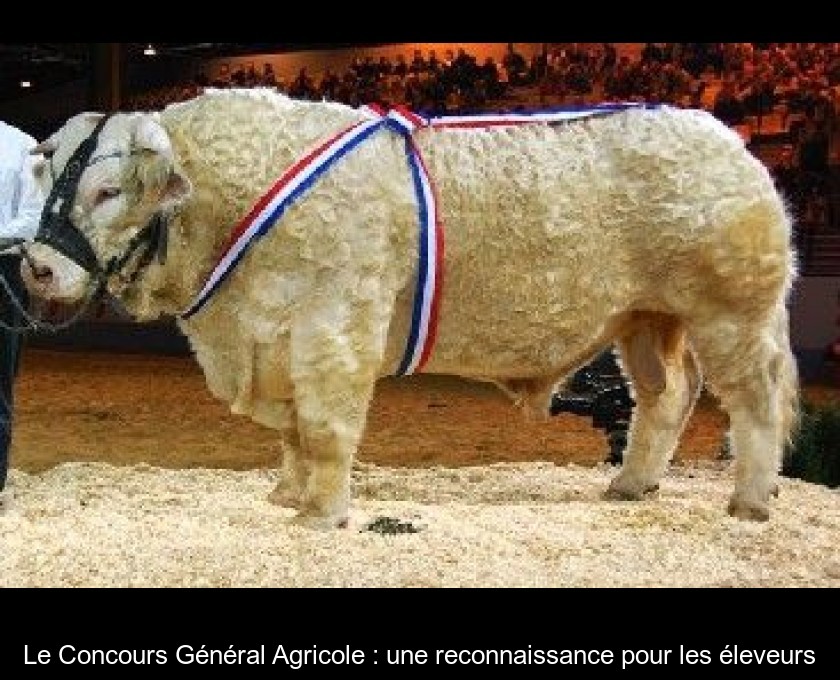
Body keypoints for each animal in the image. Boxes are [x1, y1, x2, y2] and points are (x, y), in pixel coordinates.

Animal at [23, 87, 800, 528]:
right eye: (47, 180)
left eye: (106, 192)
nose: (36, 266)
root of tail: (729, 144)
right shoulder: (275, 338)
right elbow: (294, 433)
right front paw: (289, 497)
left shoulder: (334, 329)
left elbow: (326, 428)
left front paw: (322, 515)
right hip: (645, 319)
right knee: (666, 397)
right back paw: (632, 485)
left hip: (731, 315)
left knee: (755, 403)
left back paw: (750, 502)